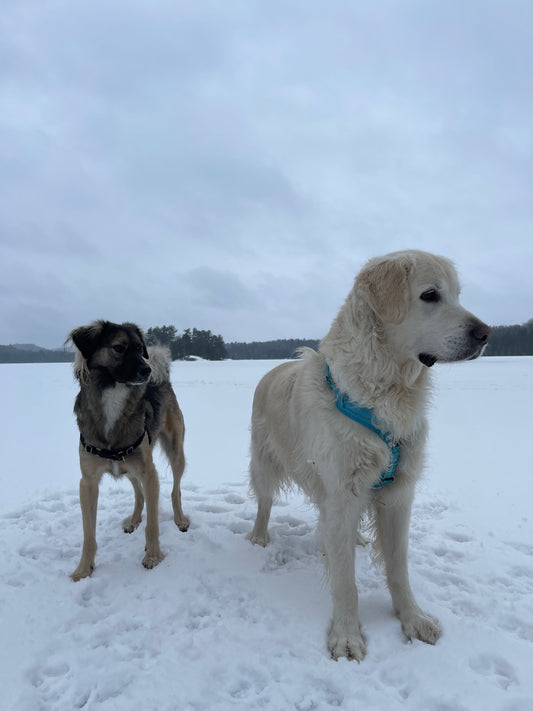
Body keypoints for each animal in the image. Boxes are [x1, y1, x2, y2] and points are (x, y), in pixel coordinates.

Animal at [68, 320, 189, 580]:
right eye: (119, 348)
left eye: (139, 348)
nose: (147, 371)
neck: (113, 398)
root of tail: (163, 379)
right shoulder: (88, 482)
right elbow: (88, 535)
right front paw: (83, 569)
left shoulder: (150, 474)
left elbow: (152, 525)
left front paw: (152, 556)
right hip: (128, 467)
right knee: (139, 494)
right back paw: (134, 519)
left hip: (176, 453)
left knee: (175, 491)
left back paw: (180, 519)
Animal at [249, 250, 490, 660]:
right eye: (430, 295)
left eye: (458, 295)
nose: (486, 333)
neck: (384, 392)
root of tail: (273, 369)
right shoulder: (342, 491)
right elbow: (346, 581)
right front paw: (346, 636)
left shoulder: (398, 493)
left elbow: (398, 567)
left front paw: (412, 619)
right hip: (264, 463)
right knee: (264, 503)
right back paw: (259, 537)